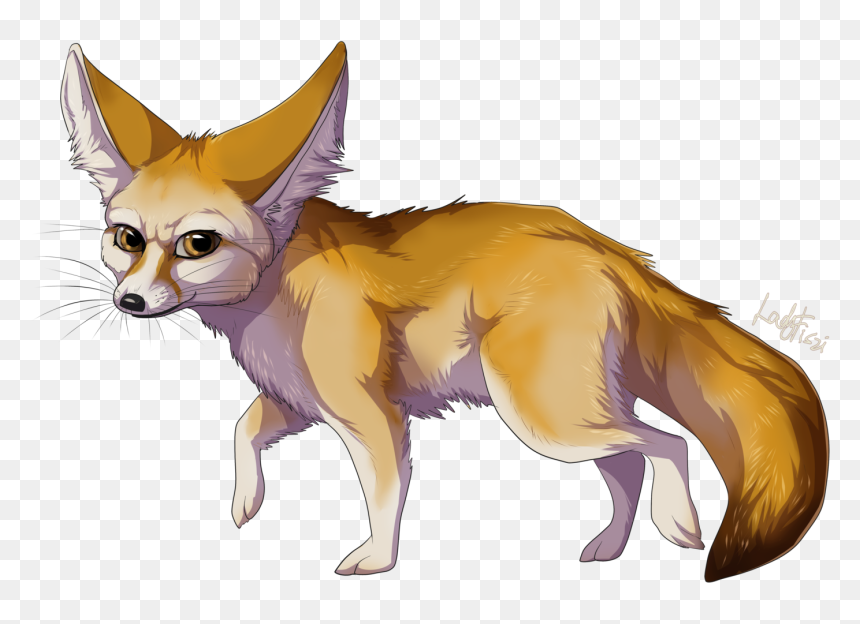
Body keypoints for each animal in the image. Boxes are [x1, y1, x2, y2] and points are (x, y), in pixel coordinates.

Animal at [58, 41, 829, 582]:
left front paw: (375, 561)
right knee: (630, 464)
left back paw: (680, 526)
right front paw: (246, 503)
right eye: (127, 240)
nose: (129, 301)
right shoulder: (299, 398)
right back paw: (609, 547)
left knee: (664, 446)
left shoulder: (370, 415)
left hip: (546, 417)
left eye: (197, 244)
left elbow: (384, 492)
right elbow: (244, 429)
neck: (278, 288)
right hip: (571, 417)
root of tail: (604, 244)